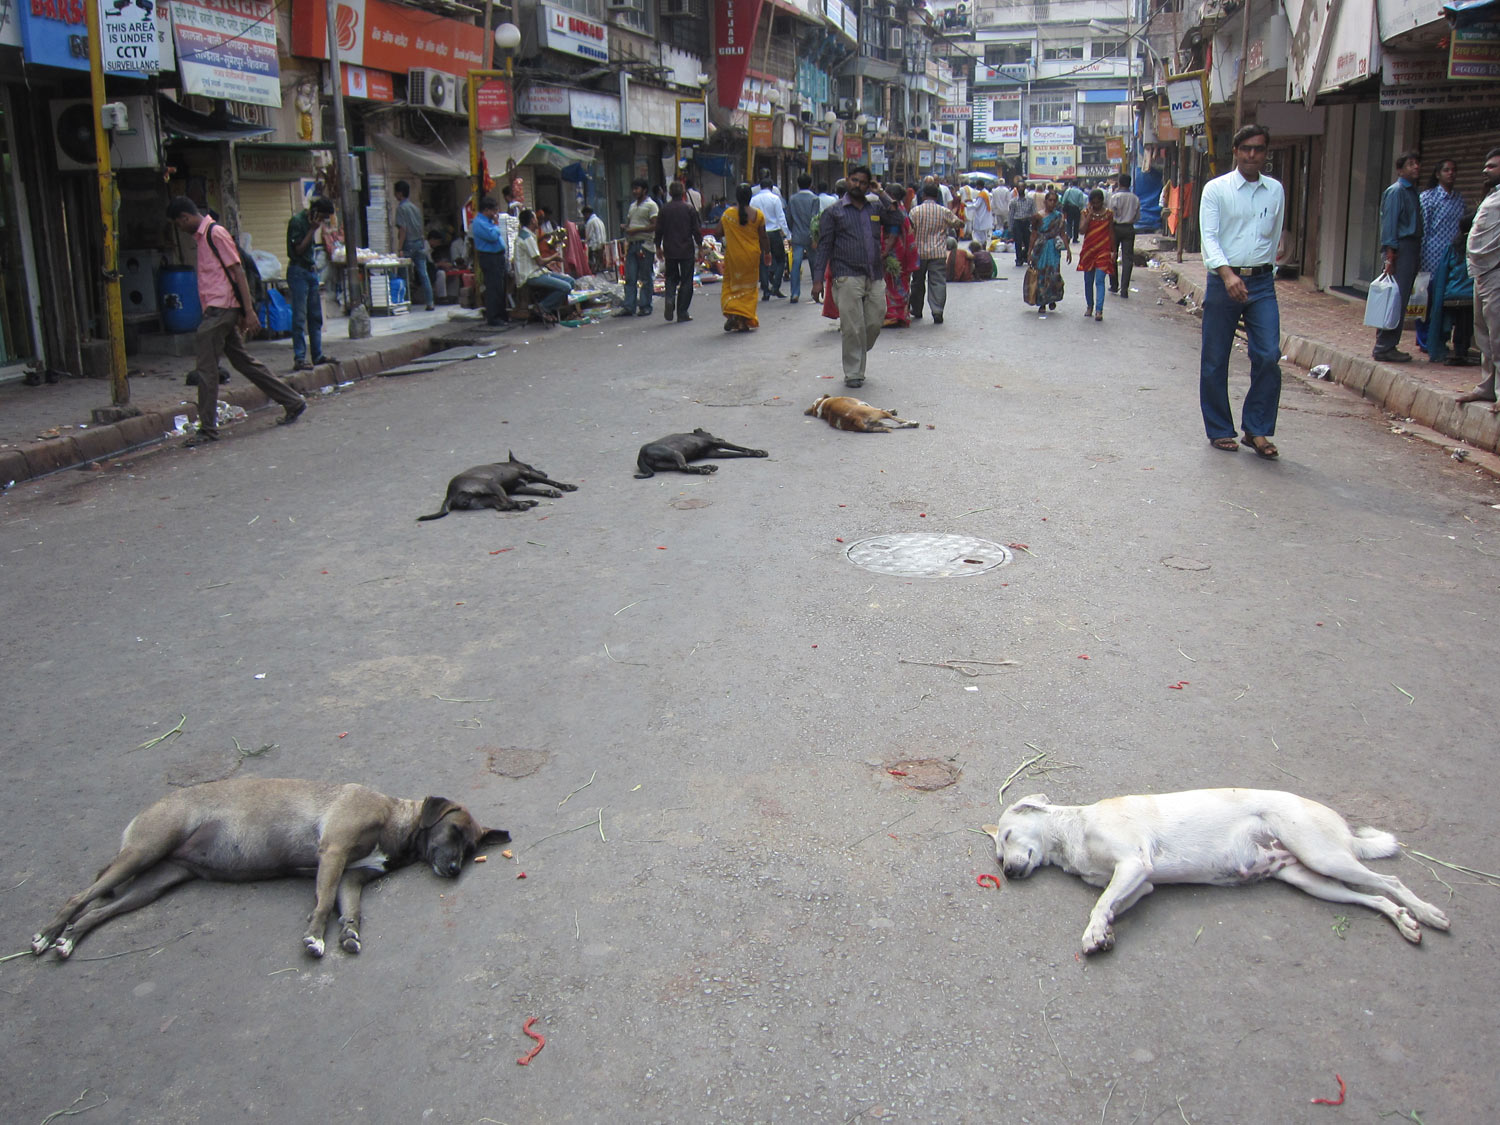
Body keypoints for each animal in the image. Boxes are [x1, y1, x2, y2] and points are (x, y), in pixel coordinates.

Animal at [32, 778, 510, 960]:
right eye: (452, 832)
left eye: (470, 848)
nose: (454, 869)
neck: (395, 822)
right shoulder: (333, 853)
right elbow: (322, 904)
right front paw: (316, 936)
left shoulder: (351, 878)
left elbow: (350, 909)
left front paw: (349, 932)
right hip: (144, 851)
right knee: (79, 897)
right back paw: (46, 934)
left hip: (151, 886)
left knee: (98, 911)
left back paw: (68, 940)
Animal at [418, 452, 577, 520]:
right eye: (531, 465)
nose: (545, 473)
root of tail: (450, 494)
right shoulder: (527, 472)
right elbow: (550, 482)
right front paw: (566, 486)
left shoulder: (519, 487)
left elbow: (538, 490)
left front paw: (550, 492)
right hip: (492, 485)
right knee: (507, 501)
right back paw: (526, 503)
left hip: (485, 499)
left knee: (504, 505)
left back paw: (526, 502)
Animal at [634, 428, 768, 478]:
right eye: (710, 433)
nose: (721, 437)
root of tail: (640, 456)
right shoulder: (717, 442)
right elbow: (740, 448)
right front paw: (758, 452)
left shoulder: (714, 453)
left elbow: (739, 452)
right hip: (674, 452)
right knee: (684, 466)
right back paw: (706, 469)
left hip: (670, 463)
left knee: (685, 468)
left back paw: (707, 468)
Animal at [984, 789, 1450, 954]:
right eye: (998, 856)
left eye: (1006, 836)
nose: (1008, 872)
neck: (1073, 833)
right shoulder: (1141, 884)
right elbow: (1111, 904)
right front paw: (1106, 930)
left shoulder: (1134, 864)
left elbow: (1099, 905)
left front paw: (1094, 933)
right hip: (1311, 880)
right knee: (1375, 896)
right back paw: (1404, 921)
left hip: (1322, 855)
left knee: (1390, 881)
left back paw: (1427, 913)